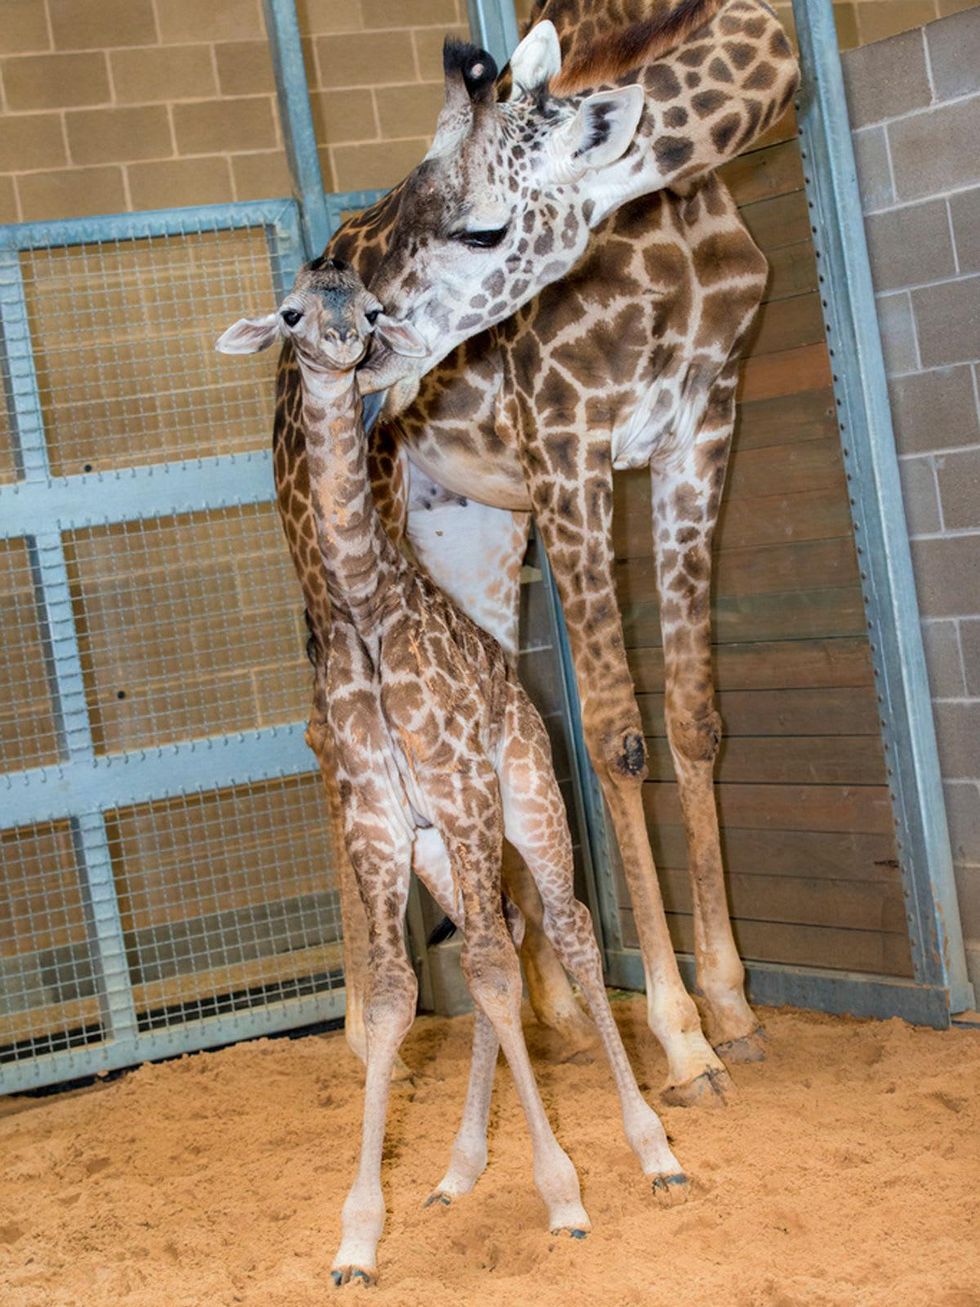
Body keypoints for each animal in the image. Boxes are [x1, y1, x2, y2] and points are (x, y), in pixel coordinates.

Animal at [217, 257, 687, 1285]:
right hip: (440, 850)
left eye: (374, 308)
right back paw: (459, 1168)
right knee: (500, 929)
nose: (344, 346)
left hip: (532, 803)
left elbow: (495, 974)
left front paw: (564, 1196)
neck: (361, 604)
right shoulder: (380, 822)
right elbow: (400, 991)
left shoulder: (465, 791)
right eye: (290, 313)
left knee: (566, 931)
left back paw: (655, 1148)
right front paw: (358, 1235)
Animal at [271, 0, 800, 1105]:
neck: (676, 212)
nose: (363, 328)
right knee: (324, 732)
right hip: (326, 526)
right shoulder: (571, 442)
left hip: (466, 527)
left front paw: (733, 1009)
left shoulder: (701, 430)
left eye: (482, 226)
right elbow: (615, 736)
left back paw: (547, 1011)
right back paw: (362, 1027)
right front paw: (680, 1037)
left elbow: (693, 720)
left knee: (487, 706)